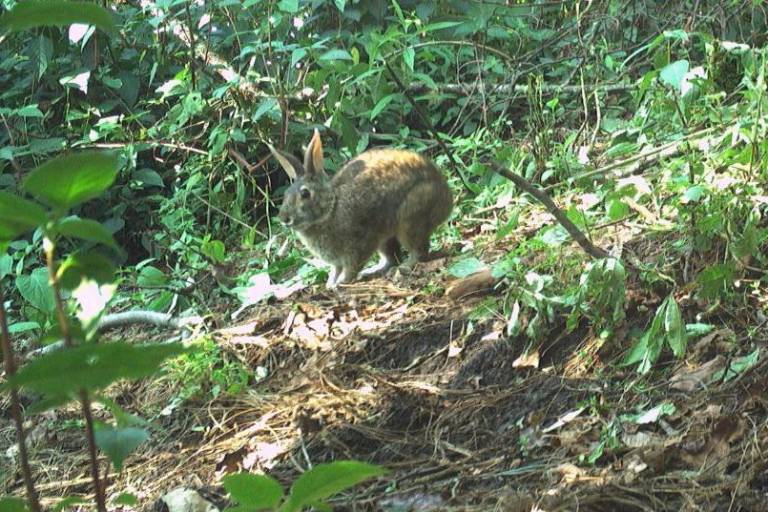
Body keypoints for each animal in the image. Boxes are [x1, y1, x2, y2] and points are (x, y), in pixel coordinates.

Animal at [268, 129, 453, 288]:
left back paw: (404, 267)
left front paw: (340, 282)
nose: (284, 218)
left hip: (410, 219)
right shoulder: (338, 260)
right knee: (391, 257)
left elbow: (351, 266)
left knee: (419, 251)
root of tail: (446, 197)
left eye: (305, 194)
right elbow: (335, 269)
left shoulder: (359, 244)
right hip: (385, 237)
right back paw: (372, 271)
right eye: (286, 193)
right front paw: (330, 283)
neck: (331, 209)